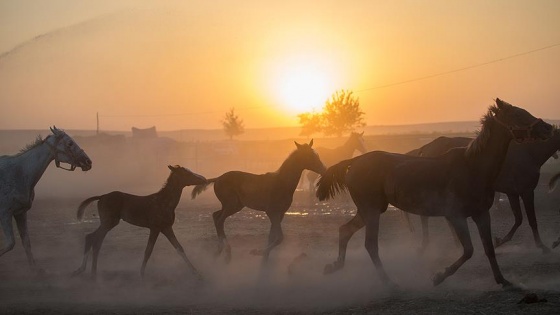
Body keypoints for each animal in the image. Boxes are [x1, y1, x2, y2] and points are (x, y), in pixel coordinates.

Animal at [0, 126, 92, 272]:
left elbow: (26, 243)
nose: (88, 162)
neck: (20, 173)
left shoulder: (20, 213)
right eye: (70, 143)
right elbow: (10, 244)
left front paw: (35, 271)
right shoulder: (4, 213)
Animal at [72, 165, 207, 278]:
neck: (165, 202)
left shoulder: (166, 228)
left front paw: (196, 272)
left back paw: (85, 270)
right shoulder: (155, 228)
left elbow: (179, 248)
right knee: (94, 239)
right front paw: (141, 274)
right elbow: (148, 251)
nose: (204, 179)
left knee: (92, 239)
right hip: (108, 222)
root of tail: (101, 197)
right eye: (186, 173)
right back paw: (90, 272)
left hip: (108, 223)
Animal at [191, 141, 326, 264]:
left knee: (216, 216)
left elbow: (272, 236)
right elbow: (279, 238)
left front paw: (264, 257)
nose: (324, 170)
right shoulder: (272, 212)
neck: (282, 182)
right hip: (231, 205)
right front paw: (258, 252)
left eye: (317, 155)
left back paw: (219, 251)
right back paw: (227, 253)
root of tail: (218, 178)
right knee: (219, 220)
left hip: (234, 205)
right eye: (310, 156)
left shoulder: (280, 213)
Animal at [316, 99, 552, 288]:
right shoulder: (456, 216)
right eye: (517, 114)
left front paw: (503, 280)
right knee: (371, 245)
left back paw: (334, 266)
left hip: (369, 210)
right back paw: (389, 283)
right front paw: (439, 276)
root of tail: (354, 161)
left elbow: (488, 249)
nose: (547, 127)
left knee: (345, 231)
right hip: (372, 211)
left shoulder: (481, 214)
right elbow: (468, 250)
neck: (473, 167)